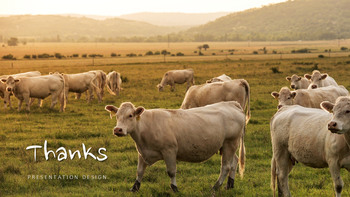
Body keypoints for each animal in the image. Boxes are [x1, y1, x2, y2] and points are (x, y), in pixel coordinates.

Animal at [105, 101, 245, 192]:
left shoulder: (169, 151)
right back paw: (229, 185)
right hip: (227, 146)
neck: (145, 126)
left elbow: (171, 171)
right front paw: (135, 187)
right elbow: (139, 171)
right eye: (117, 116)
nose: (118, 130)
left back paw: (215, 187)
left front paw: (174, 188)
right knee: (234, 162)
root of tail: (232, 104)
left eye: (130, 115)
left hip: (230, 143)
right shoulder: (142, 152)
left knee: (226, 167)